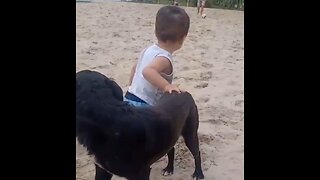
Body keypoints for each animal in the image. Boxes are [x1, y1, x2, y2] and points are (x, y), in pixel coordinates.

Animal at [76, 69, 204, 179]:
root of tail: (183, 91)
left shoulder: (141, 173)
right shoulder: (102, 170)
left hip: (190, 134)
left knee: (196, 153)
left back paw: (198, 173)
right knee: (171, 149)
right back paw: (169, 169)